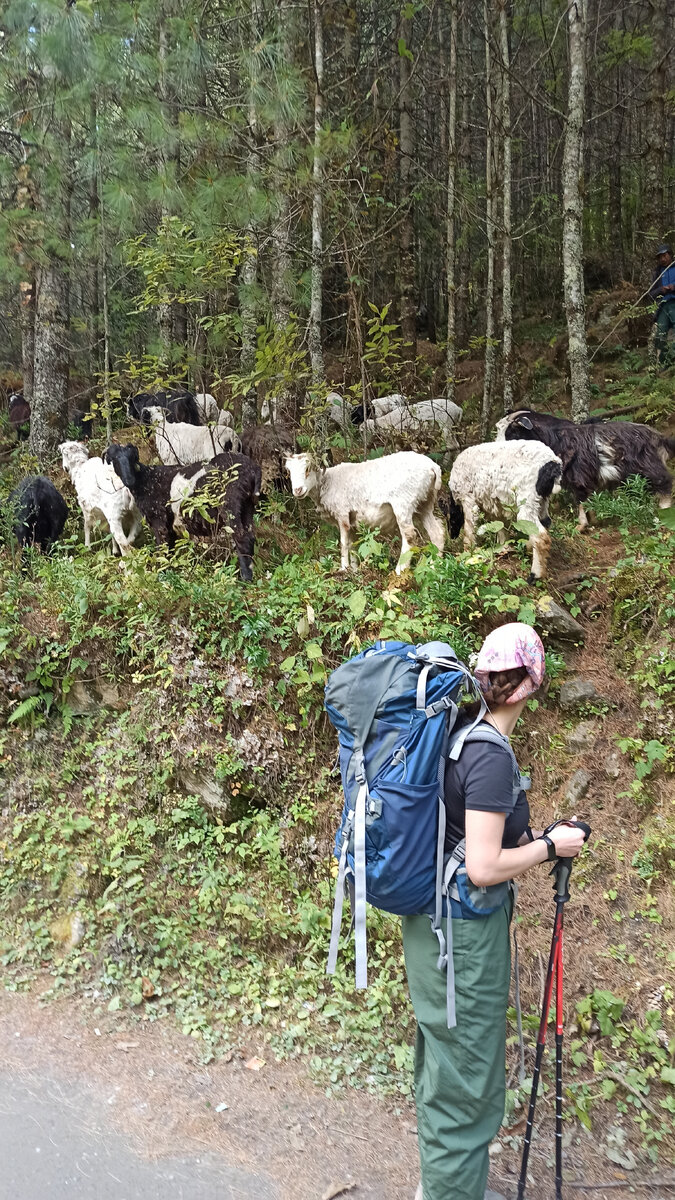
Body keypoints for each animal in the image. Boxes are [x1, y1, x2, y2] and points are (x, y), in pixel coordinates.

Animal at [102, 448, 260, 583]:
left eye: (132, 457)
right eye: (114, 459)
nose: (129, 479)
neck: (146, 480)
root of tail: (253, 469)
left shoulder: (159, 522)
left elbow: (163, 550)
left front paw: (161, 577)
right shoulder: (169, 528)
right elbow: (170, 551)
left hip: (230, 503)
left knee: (241, 537)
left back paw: (245, 579)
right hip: (247, 506)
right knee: (250, 537)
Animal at [282, 451, 444, 571]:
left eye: (307, 469)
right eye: (289, 471)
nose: (298, 490)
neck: (326, 482)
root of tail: (432, 466)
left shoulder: (342, 514)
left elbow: (343, 544)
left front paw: (344, 568)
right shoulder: (353, 521)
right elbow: (353, 545)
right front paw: (354, 569)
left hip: (403, 503)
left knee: (409, 536)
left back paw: (400, 570)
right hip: (425, 502)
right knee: (437, 533)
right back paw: (434, 566)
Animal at [446, 441, 562, 580]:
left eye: (450, 519)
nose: (451, 536)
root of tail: (552, 463)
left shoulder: (468, 500)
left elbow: (469, 530)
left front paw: (468, 554)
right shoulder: (498, 503)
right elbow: (501, 527)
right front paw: (503, 548)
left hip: (527, 501)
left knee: (541, 537)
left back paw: (535, 575)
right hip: (542, 501)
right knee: (546, 523)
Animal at [494, 410, 672, 528]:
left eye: (512, 432)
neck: (556, 440)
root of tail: (660, 438)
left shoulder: (578, 476)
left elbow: (580, 499)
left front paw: (581, 525)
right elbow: (589, 499)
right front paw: (593, 520)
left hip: (650, 467)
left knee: (665, 483)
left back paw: (664, 512)